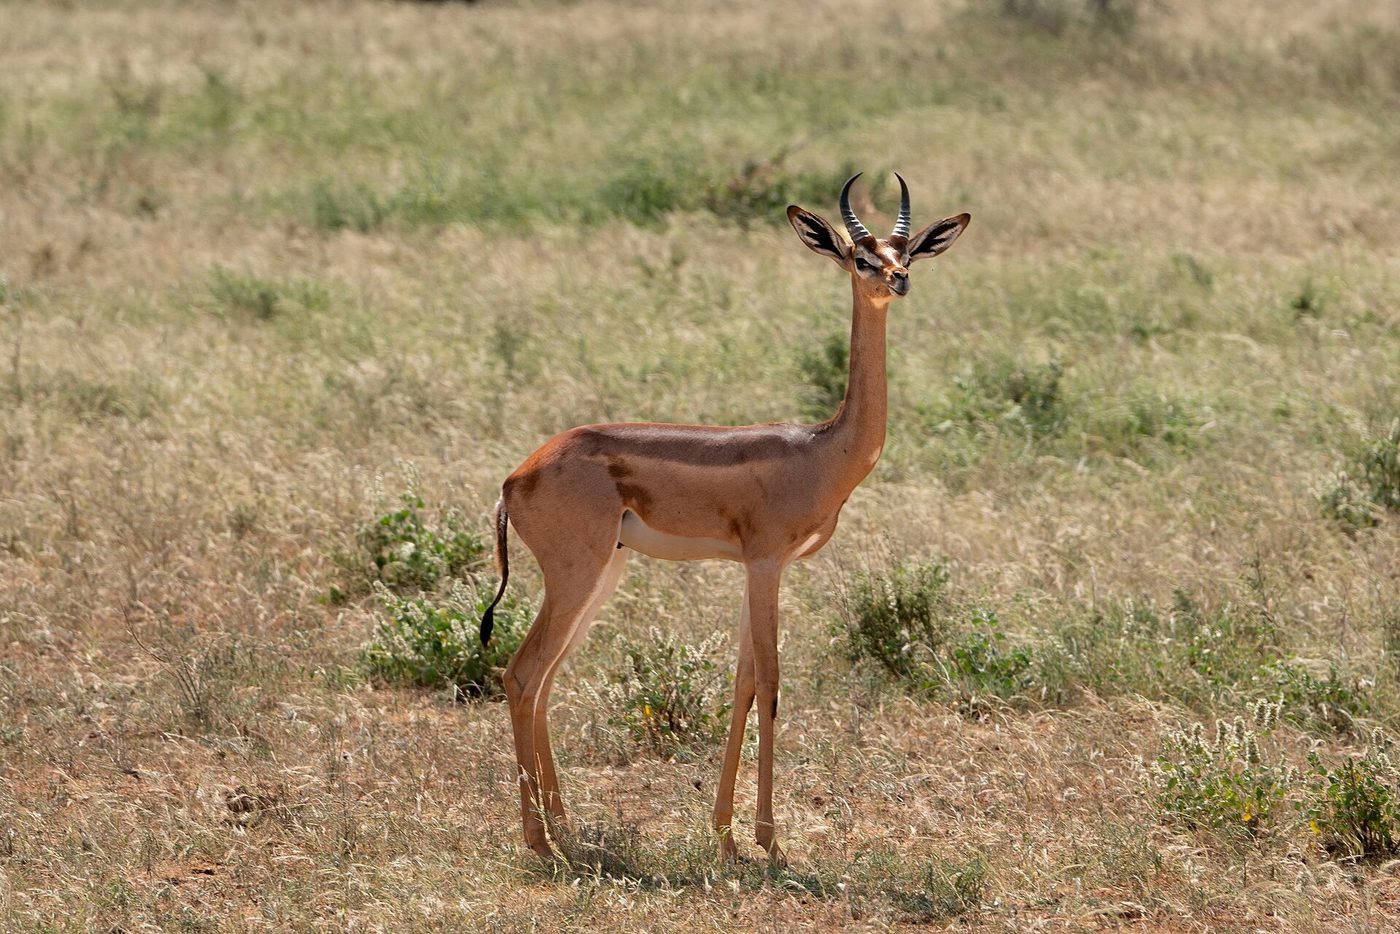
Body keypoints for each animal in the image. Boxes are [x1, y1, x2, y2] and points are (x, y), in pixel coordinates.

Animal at [480, 174, 970, 864]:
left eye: (907, 254)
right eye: (860, 257)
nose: (897, 281)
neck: (821, 449)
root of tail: (515, 478)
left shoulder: (752, 570)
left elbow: (740, 685)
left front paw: (725, 834)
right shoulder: (766, 564)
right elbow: (770, 683)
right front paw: (769, 840)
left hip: (603, 574)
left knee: (544, 680)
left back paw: (566, 828)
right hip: (576, 574)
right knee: (522, 673)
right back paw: (540, 843)